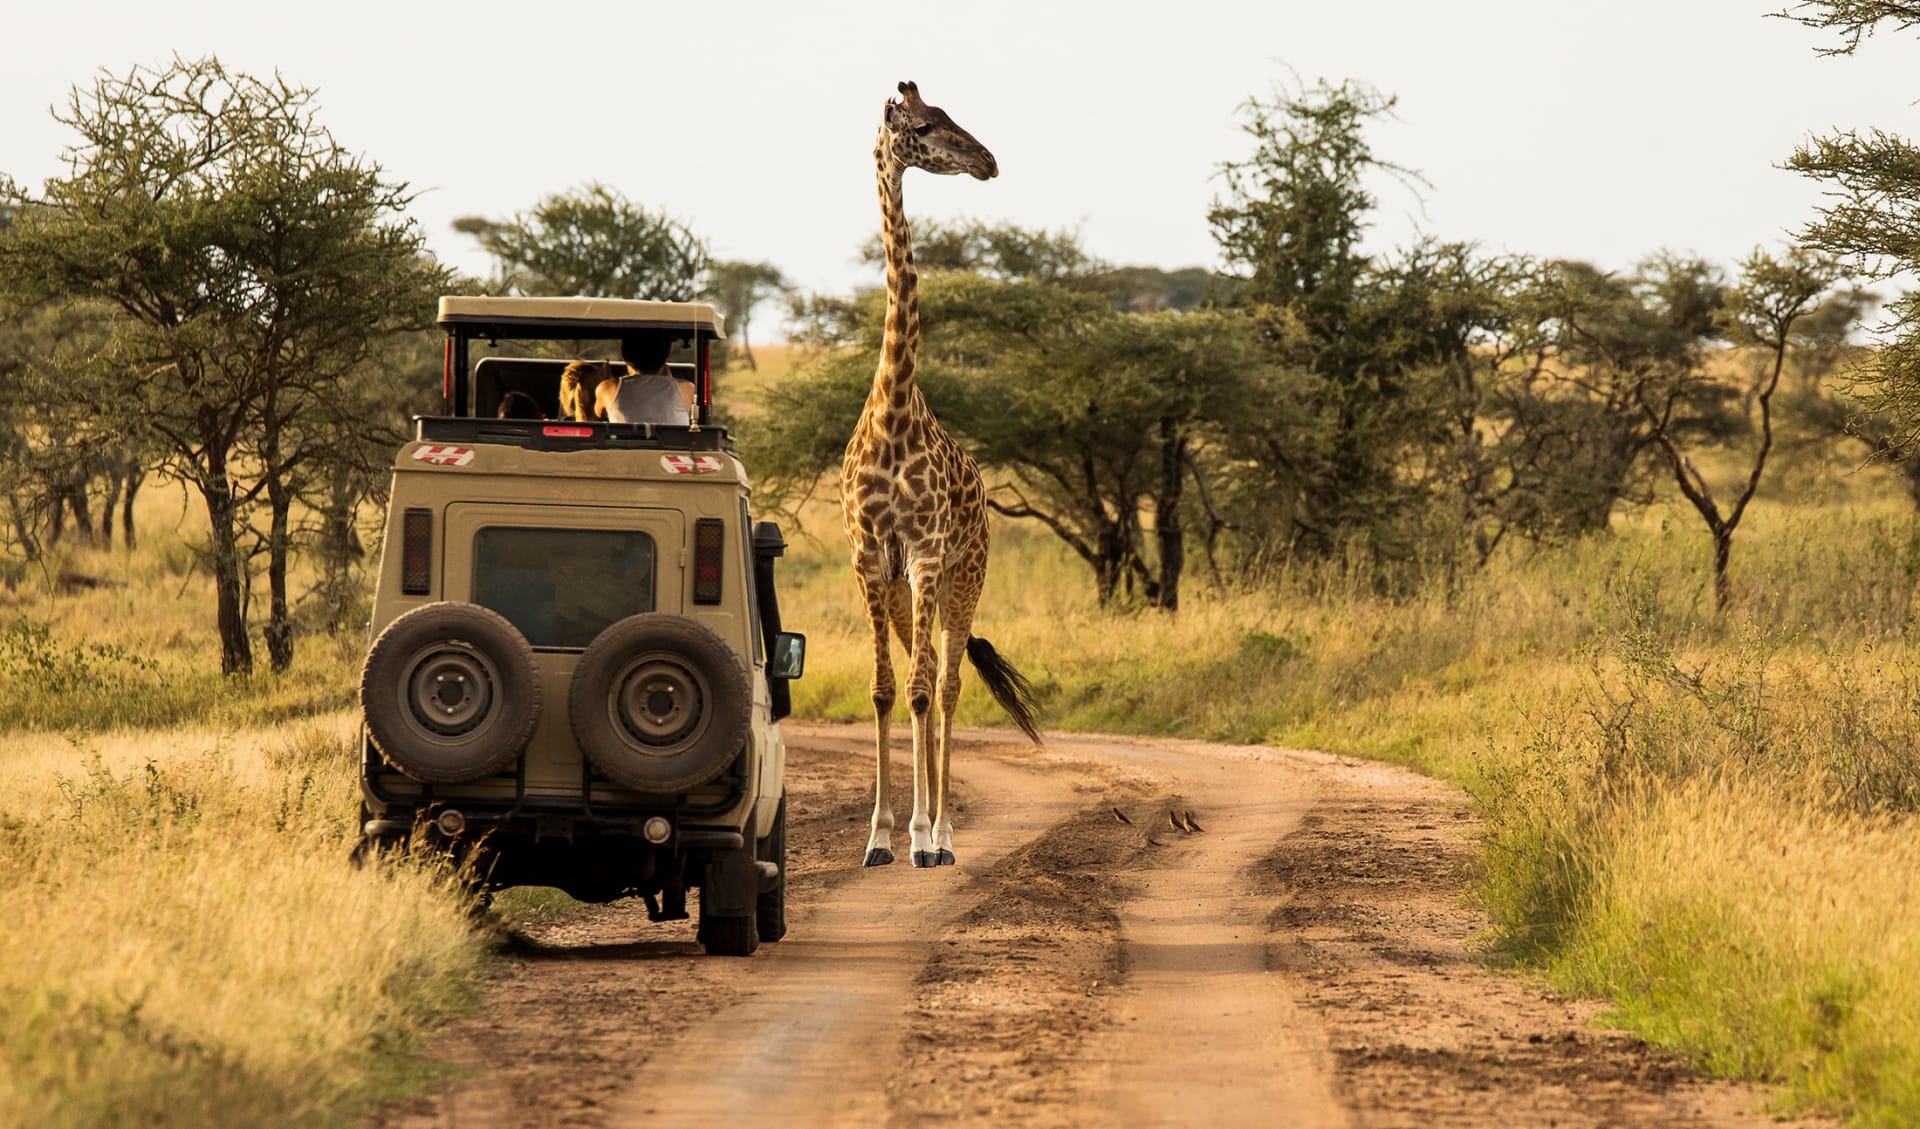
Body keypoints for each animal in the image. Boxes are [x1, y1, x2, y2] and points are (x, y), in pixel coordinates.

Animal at [840, 81, 1044, 871]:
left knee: (950, 683)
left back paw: (946, 834)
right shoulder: (872, 558)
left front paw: (923, 836)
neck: (894, 409)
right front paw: (877, 838)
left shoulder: (927, 554)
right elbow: (884, 688)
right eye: (925, 126)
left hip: (966, 575)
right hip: (906, 590)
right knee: (921, 673)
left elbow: (927, 689)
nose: (988, 161)